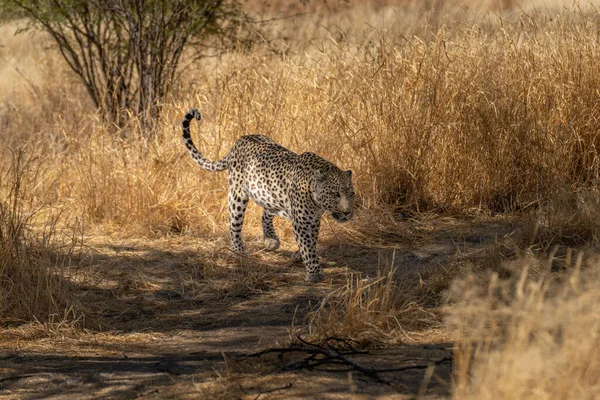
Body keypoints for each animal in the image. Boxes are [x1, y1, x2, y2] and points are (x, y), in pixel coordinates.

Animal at [180, 108, 354, 280]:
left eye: (351, 194)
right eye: (335, 194)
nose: (347, 213)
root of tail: (239, 141)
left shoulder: (314, 220)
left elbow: (312, 241)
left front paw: (299, 256)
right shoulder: (301, 222)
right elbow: (307, 245)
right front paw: (314, 272)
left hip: (271, 195)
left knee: (266, 213)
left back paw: (270, 239)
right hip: (237, 195)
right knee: (234, 224)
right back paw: (238, 250)